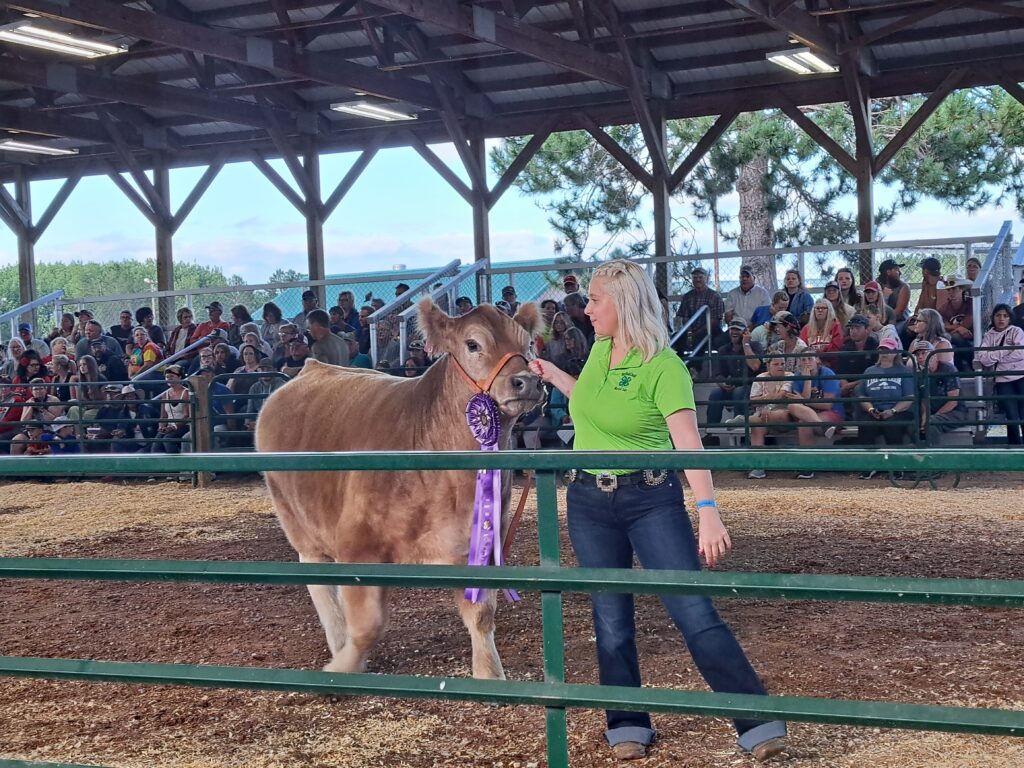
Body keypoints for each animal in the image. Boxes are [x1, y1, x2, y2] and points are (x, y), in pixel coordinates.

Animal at [254, 299, 544, 679]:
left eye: (527, 345)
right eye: (473, 344)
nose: (527, 381)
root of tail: (313, 367)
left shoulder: (480, 543)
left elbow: (481, 616)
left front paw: (489, 674)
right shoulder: (358, 544)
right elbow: (368, 625)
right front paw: (343, 665)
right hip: (297, 520)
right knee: (319, 580)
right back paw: (337, 641)